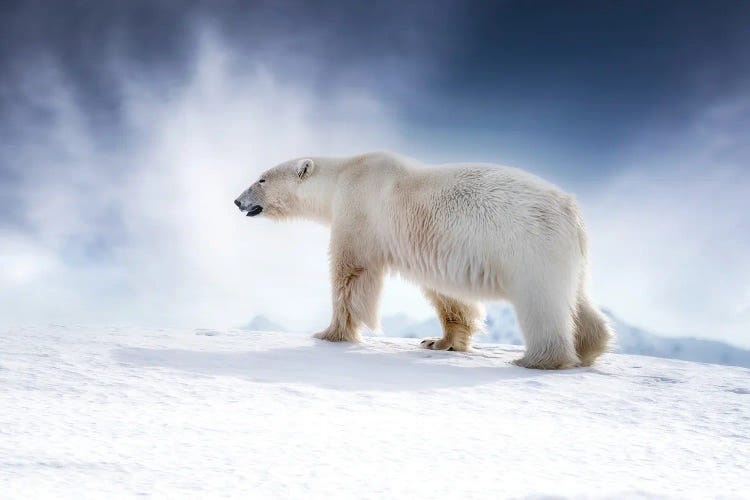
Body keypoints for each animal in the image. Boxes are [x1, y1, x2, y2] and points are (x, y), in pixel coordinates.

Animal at [234, 150, 612, 370]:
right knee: (578, 299)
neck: (344, 175)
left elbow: (351, 273)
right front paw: (440, 342)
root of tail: (569, 207)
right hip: (565, 253)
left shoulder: (359, 214)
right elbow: (447, 294)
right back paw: (590, 347)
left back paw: (536, 360)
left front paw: (330, 334)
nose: (238, 201)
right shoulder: (430, 246)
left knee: (541, 303)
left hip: (528, 246)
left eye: (261, 178)